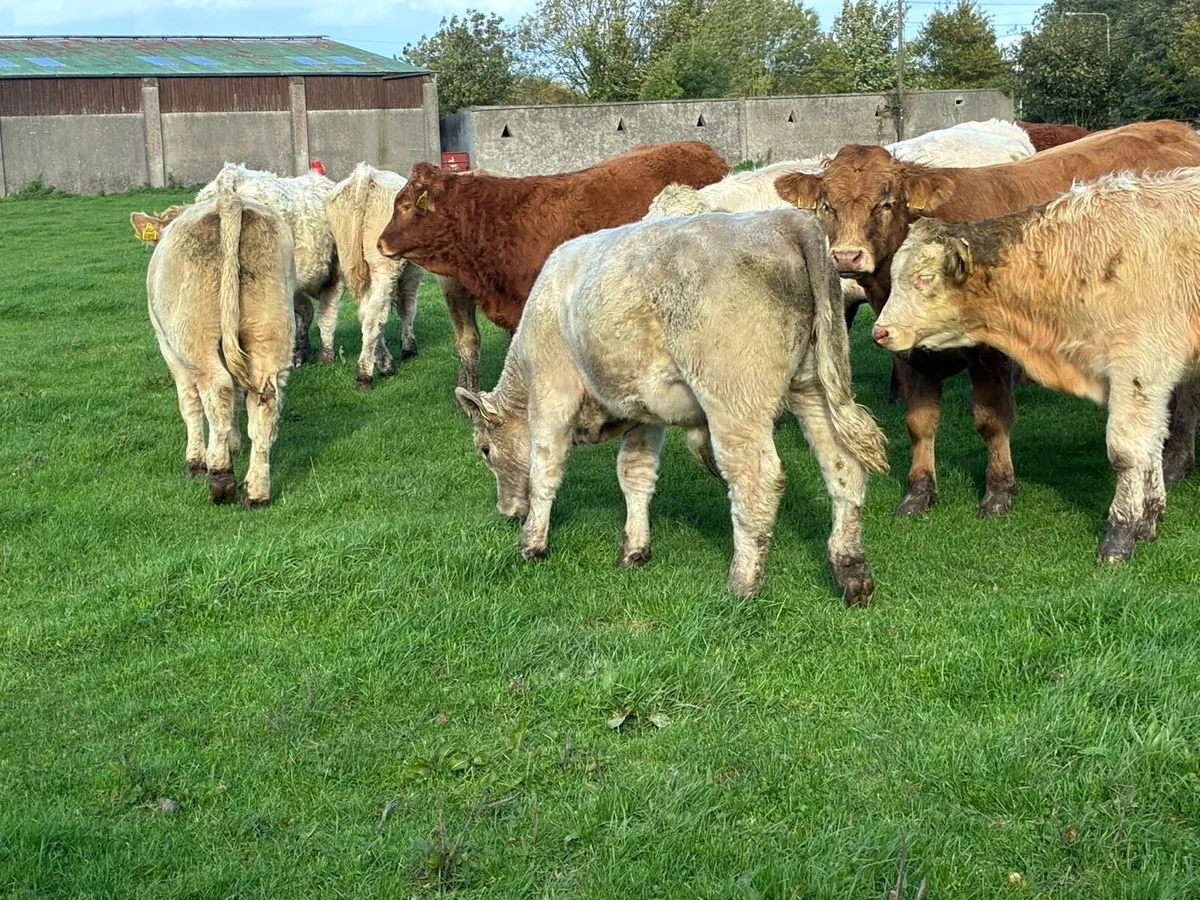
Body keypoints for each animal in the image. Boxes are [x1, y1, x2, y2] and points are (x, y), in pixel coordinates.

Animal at [131, 169, 295, 507]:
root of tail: (229, 202)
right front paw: (233, 443)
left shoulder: (168, 348)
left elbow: (190, 404)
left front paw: (196, 460)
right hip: (270, 331)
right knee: (264, 399)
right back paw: (257, 491)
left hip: (194, 337)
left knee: (217, 388)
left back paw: (220, 476)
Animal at [453, 209, 889, 604]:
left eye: (485, 450)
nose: (507, 511)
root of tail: (785, 219)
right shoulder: (643, 413)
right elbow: (635, 475)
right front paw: (634, 550)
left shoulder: (551, 394)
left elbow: (545, 469)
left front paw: (532, 544)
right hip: (814, 386)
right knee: (843, 465)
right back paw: (851, 572)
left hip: (735, 400)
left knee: (757, 480)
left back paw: (742, 584)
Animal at [773, 119, 1200, 520]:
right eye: (827, 205)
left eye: (887, 203)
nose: (847, 256)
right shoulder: (912, 354)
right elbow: (919, 422)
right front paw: (919, 492)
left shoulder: (990, 351)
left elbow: (991, 420)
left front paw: (998, 490)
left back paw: (1176, 461)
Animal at [873, 168, 1200, 564]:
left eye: (924, 278)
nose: (880, 331)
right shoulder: (1150, 382)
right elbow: (1151, 446)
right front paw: (1148, 521)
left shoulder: (1138, 369)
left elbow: (1126, 452)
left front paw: (1120, 535)